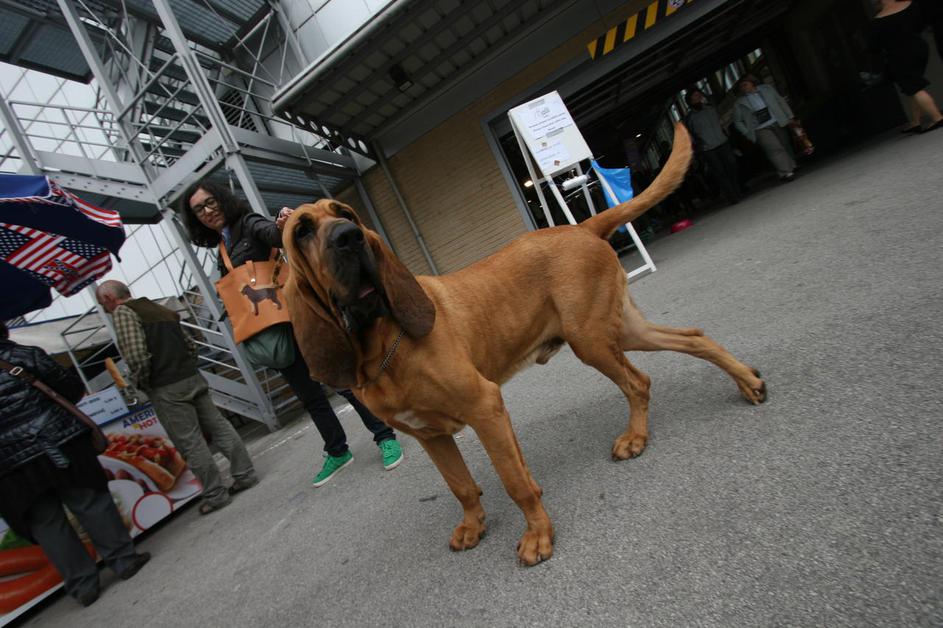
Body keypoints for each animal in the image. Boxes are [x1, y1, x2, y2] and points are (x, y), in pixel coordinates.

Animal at [282, 124, 766, 565]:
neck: (380, 342)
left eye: (345, 212)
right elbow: (462, 485)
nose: (349, 236)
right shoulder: (431, 435)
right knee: (691, 338)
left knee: (638, 381)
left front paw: (537, 536)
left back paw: (636, 436)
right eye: (302, 230)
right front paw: (474, 524)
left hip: (591, 340)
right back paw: (746, 382)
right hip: (621, 330)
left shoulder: (484, 407)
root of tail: (582, 227)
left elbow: (514, 482)